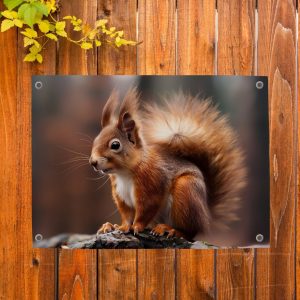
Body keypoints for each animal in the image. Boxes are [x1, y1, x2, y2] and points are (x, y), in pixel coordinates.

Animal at [89, 88, 246, 240]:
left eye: (115, 145)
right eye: (95, 141)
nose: (93, 162)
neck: (125, 173)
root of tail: (206, 215)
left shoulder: (152, 184)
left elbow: (146, 210)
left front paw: (137, 226)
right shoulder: (121, 196)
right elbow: (127, 215)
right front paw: (122, 227)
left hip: (186, 192)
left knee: (190, 232)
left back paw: (170, 230)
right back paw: (110, 226)